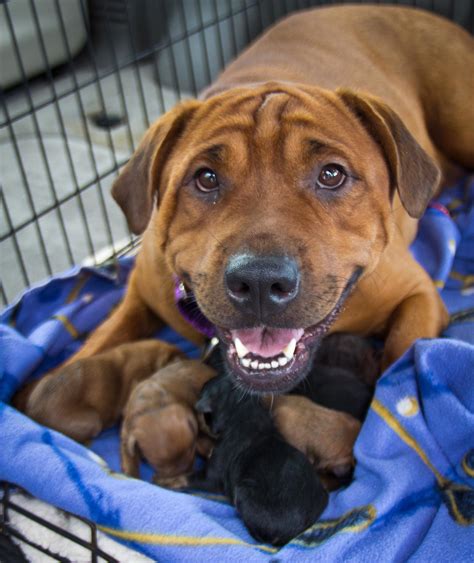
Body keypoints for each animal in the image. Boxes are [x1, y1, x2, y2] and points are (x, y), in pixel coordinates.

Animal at [12, 5, 472, 446]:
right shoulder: (140, 294)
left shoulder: (418, 295)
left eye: (332, 174)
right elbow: (100, 339)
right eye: (205, 178)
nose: (261, 282)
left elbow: (399, 361)